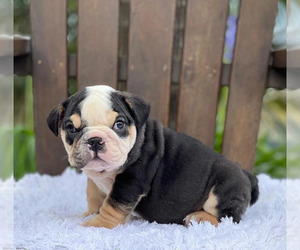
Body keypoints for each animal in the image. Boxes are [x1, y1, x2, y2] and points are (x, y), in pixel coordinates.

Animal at [47, 85, 258, 229]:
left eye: (119, 124)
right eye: (71, 128)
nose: (95, 140)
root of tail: (246, 175)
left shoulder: (131, 181)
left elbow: (112, 205)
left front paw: (95, 225)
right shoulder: (95, 179)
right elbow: (93, 194)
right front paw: (89, 213)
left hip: (224, 187)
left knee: (229, 218)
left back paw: (200, 217)